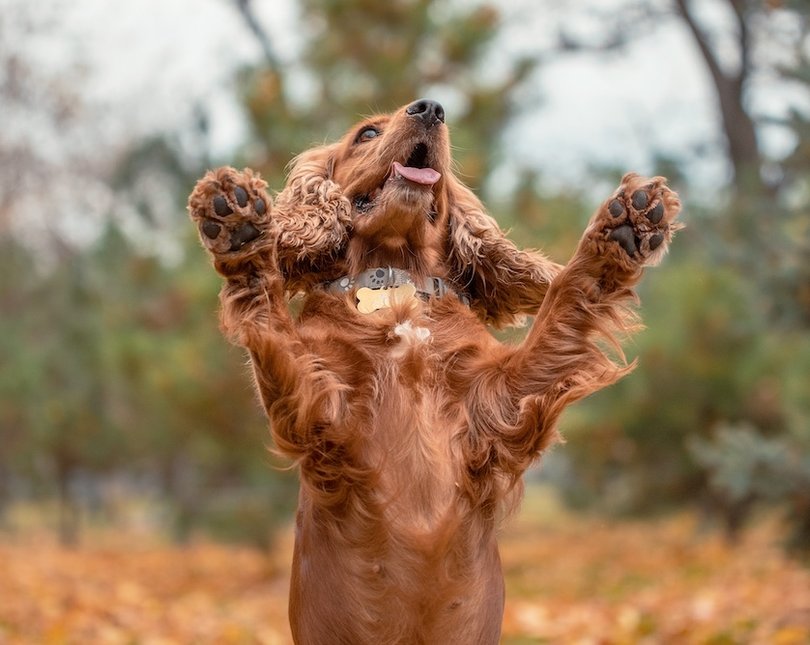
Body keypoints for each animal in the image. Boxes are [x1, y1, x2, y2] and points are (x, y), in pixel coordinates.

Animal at [186, 98, 680, 640]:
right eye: (367, 133)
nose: (432, 108)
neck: (395, 280)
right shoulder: (321, 413)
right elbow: (271, 320)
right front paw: (239, 231)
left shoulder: (502, 402)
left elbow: (565, 303)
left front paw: (624, 228)